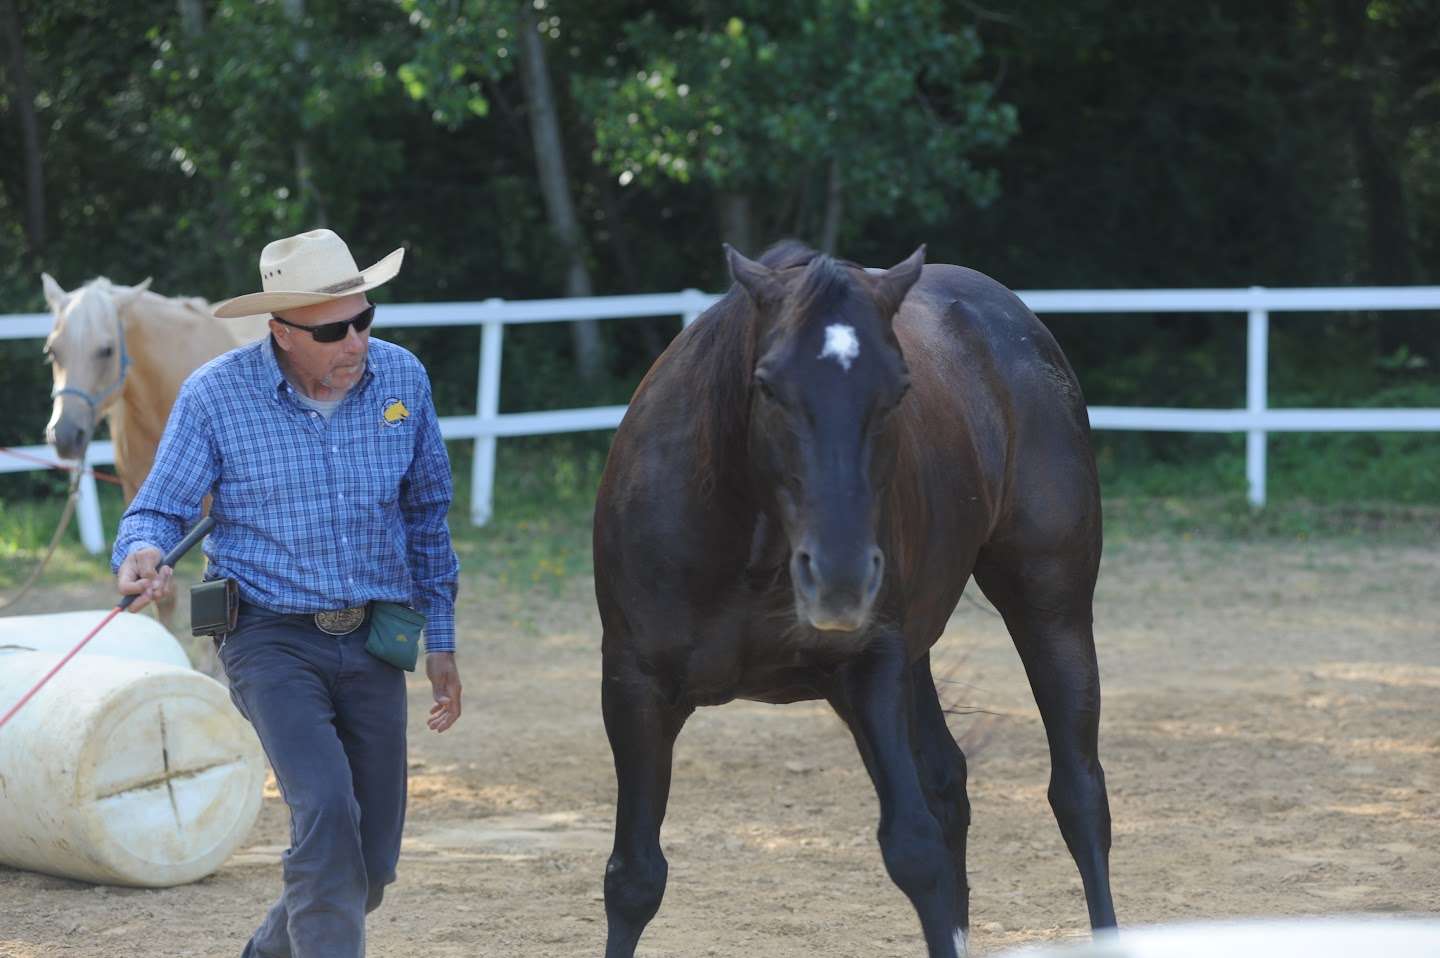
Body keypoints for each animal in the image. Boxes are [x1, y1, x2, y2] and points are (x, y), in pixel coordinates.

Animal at [592, 241, 1116, 957]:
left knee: (1079, 796)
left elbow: (915, 850)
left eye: (897, 390)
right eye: (768, 385)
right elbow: (634, 877)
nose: (839, 577)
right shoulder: (635, 689)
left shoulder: (868, 669)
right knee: (949, 784)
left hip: (1050, 607)